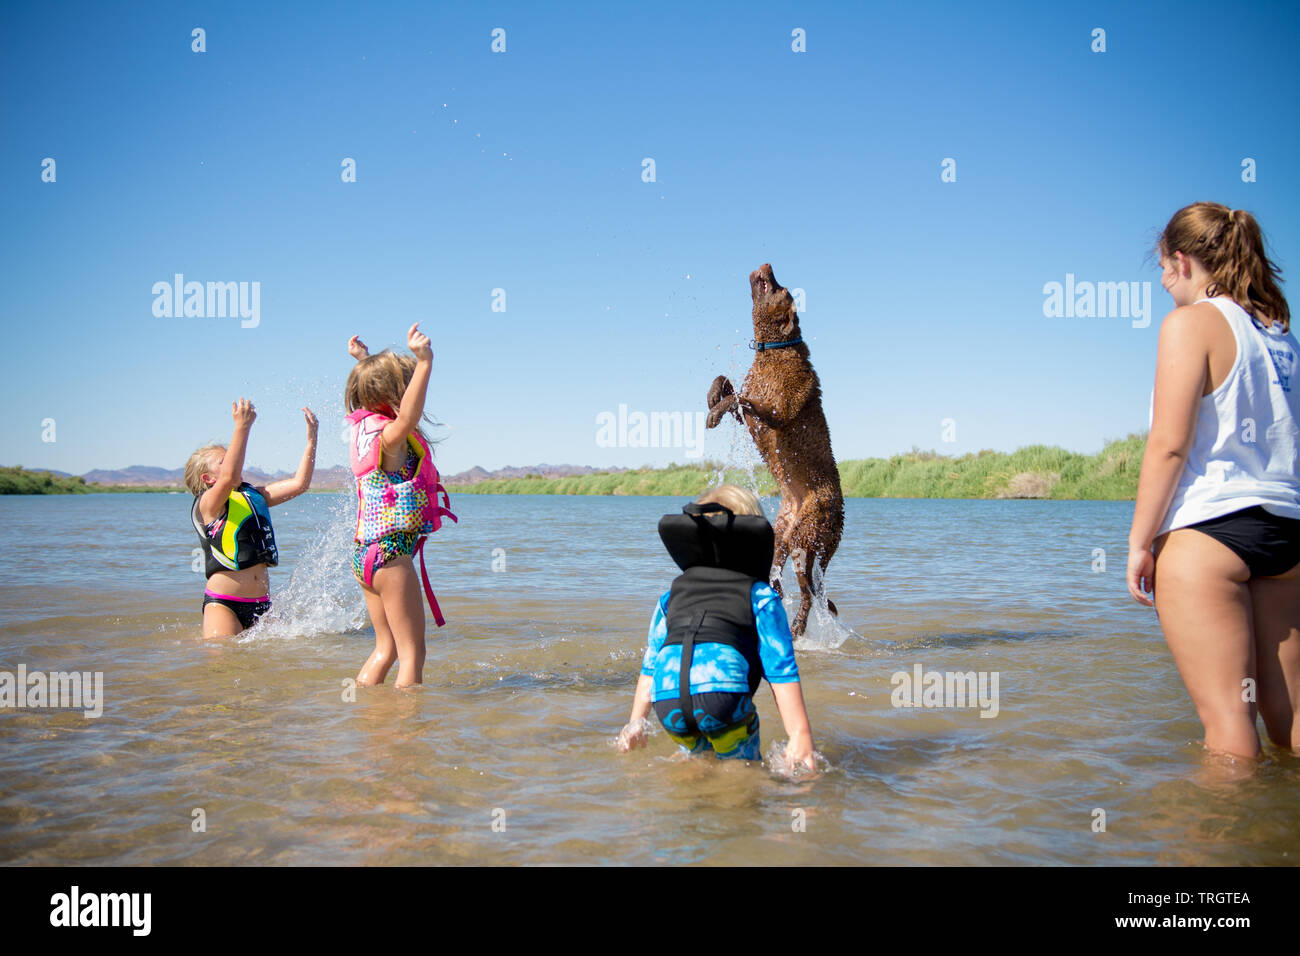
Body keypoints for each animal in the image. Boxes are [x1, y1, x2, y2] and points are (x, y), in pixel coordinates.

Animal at [712, 264, 842, 634]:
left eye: (782, 289)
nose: (767, 265)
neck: (773, 349)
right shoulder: (751, 412)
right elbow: (724, 383)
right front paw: (712, 398)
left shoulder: (777, 411)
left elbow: (739, 399)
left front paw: (714, 412)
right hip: (782, 535)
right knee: (781, 581)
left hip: (805, 539)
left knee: (809, 593)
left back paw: (797, 627)